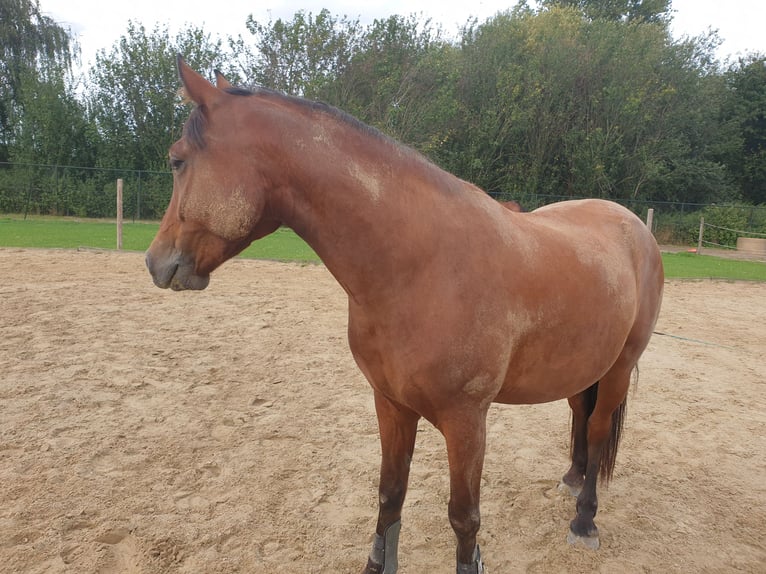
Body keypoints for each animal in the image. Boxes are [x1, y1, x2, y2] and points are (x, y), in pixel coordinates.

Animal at [146, 59, 664, 574]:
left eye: (177, 160)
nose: (155, 262)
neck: (418, 266)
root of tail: (635, 227)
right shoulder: (390, 404)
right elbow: (390, 495)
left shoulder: (466, 421)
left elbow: (464, 518)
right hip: (583, 367)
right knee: (580, 414)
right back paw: (572, 478)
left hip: (619, 367)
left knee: (598, 430)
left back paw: (584, 519)